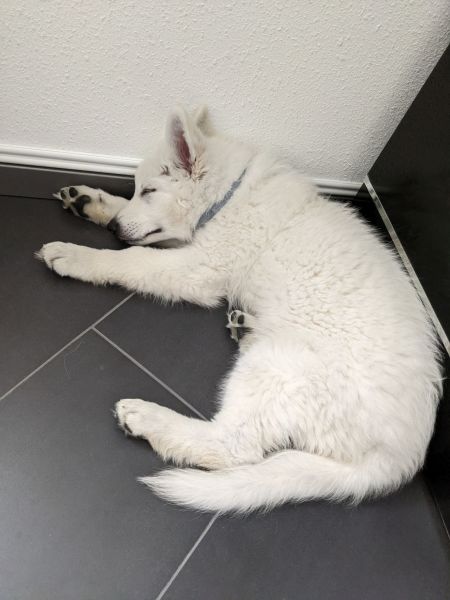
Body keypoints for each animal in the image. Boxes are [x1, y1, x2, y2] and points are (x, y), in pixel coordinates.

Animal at [37, 105, 442, 513]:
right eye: (136, 189)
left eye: (150, 191)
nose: (115, 229)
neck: (228, 199)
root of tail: (399, 456)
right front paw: (93, 203)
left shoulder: (200, 268)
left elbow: (133, 260)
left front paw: (77, 255)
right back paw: (243, 327)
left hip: (280, 366)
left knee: (232, 447)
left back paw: (149, 417)